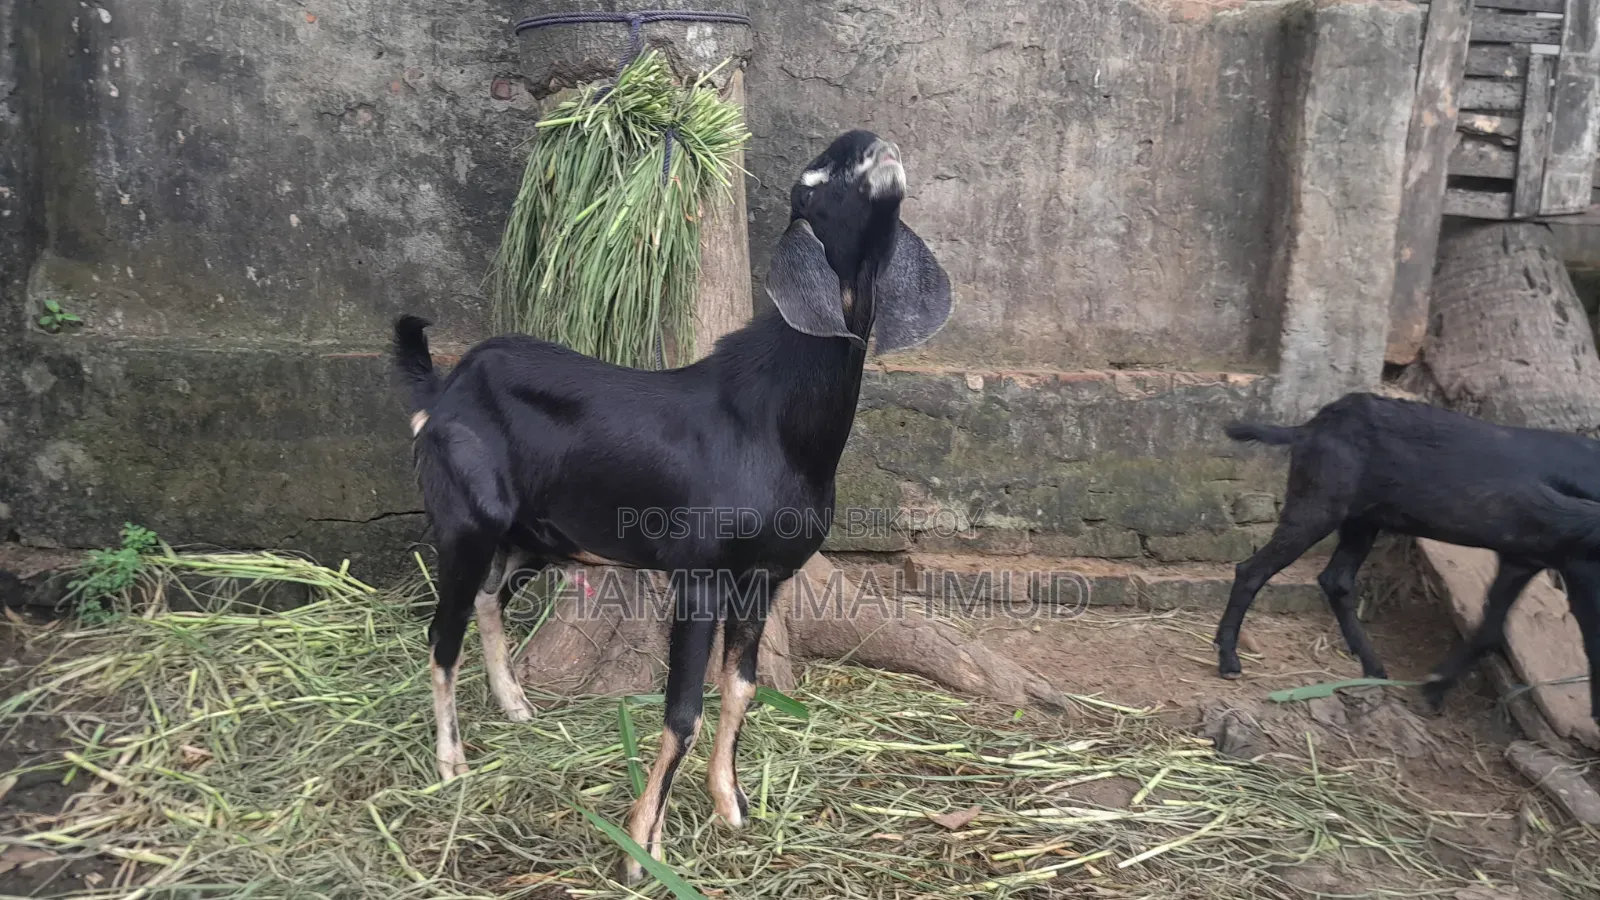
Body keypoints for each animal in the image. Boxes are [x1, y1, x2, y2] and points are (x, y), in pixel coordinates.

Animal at [390, 129, 951, 883]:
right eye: (814, 182)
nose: (873, 145)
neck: (777, 422)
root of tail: (443, 391)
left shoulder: (764, 578)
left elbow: (740, 688)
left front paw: (732, 805)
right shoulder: (700, 575)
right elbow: (682, 709)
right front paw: (642, 850)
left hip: (532, 535)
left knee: (487, 599)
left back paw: (514, 705)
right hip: (465, 522)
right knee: (440, 631)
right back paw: (452, 761)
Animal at [1213, 391, 1600, 727]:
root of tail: (1310, 428)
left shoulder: (1523, 559)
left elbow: (1490, 629)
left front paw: (1435, 688)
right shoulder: (1576, 569)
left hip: (1362, 520)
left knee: (1335, 580)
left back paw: (1374, 668)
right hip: (1319, 505)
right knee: (1252, 570)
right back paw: (1229, 659)